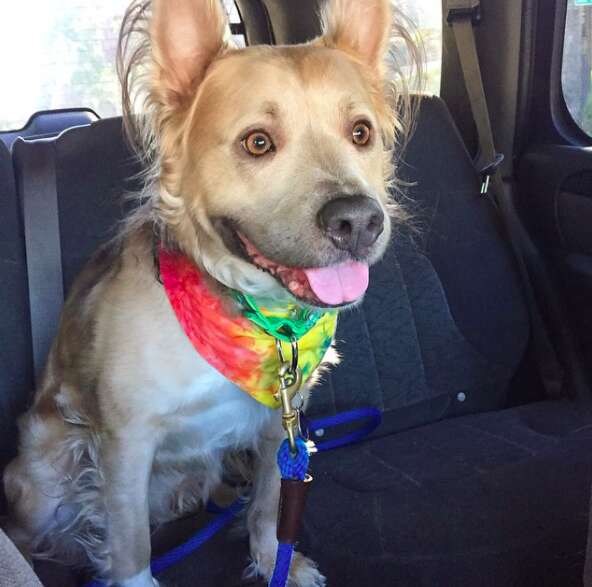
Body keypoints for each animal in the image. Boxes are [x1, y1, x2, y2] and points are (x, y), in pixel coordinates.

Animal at [5, 0, 420, 584]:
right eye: (258, 142)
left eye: (360, 133)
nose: (358, 221)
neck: (255, 315)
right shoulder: (125, 443)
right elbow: (129, 542)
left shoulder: (279, 425)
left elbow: (269, 504)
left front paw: (273, 561)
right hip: (45, 474)